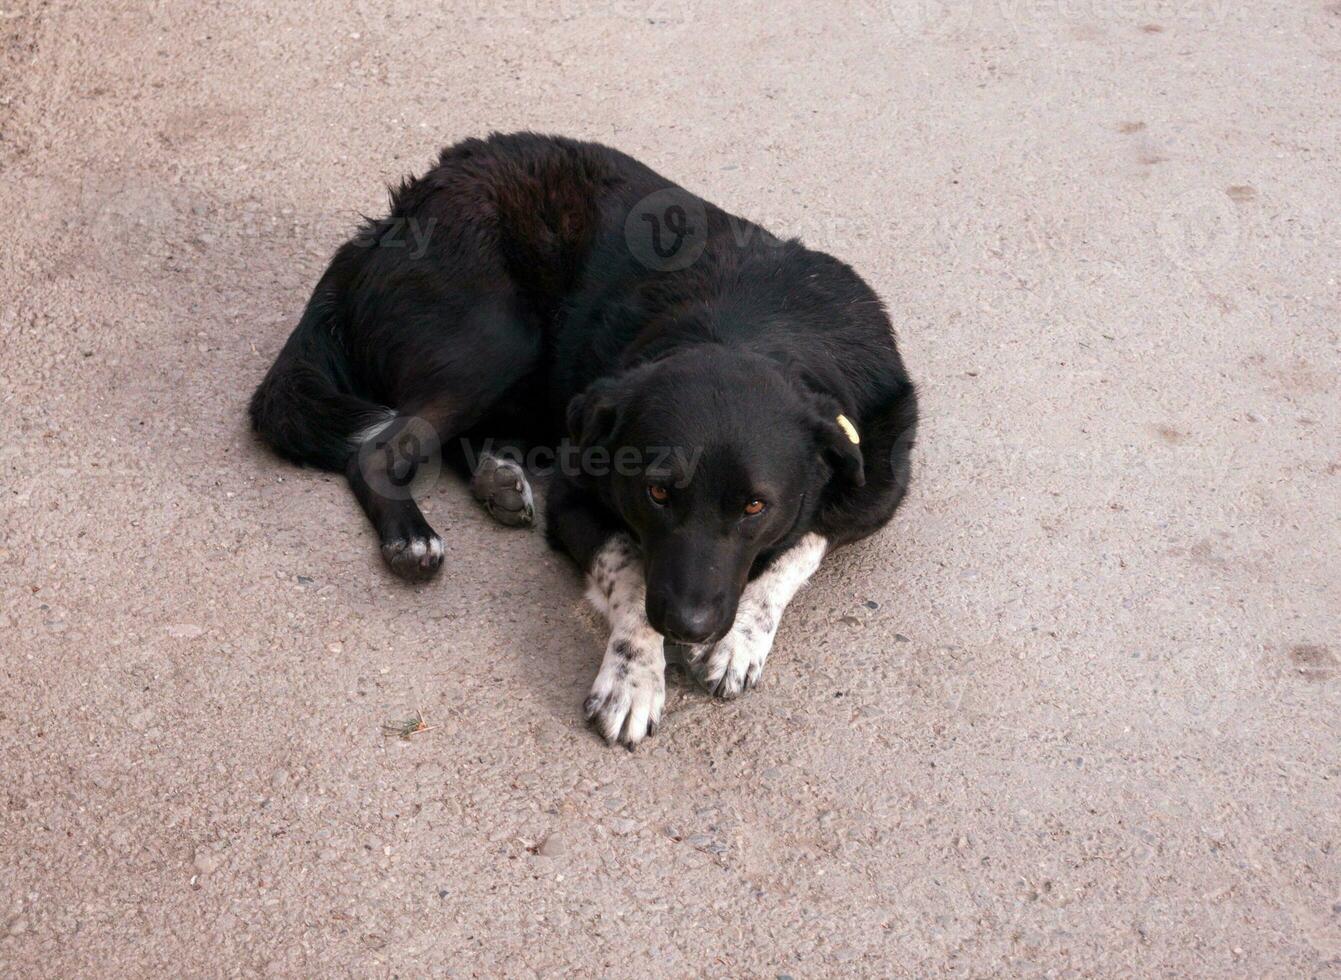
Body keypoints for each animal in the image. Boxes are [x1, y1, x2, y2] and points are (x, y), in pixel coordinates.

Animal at [250, 128, 917, 745]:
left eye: (756, 506)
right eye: (656, 494)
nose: (689, 626)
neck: (754, 327)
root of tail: (390, 218)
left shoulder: (876, 483)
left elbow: (802, 546)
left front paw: (740, 640)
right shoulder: (578, 496)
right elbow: (630, 570)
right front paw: (634, 677)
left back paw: (499, 477)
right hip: (498, 339)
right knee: (377, 448)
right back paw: (412, 536)